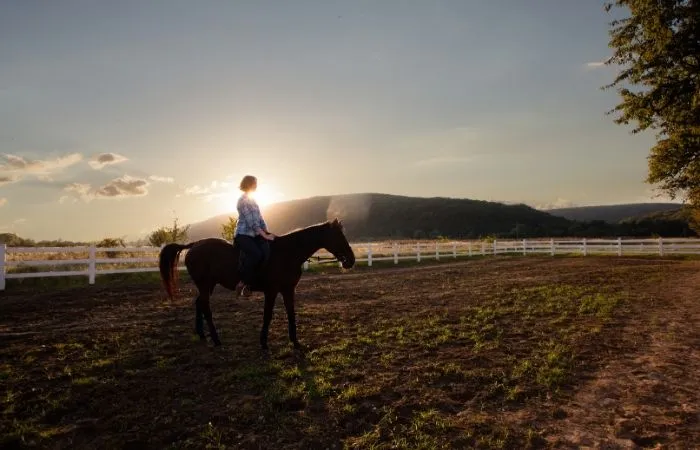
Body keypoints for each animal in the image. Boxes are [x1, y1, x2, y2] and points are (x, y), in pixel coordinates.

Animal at [159, 220, 356, 350]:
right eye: (338, 236)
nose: (350, 260)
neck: (287, 253)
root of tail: (193, 245)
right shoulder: (271, 291)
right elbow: (267, 315)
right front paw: (264, 343)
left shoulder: (288, 290)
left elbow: (291, 313)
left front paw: (295, 341)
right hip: (205, 284)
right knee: (205, 307)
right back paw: (216, 339)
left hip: (208, 285)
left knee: (199, 303)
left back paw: (201, 334)